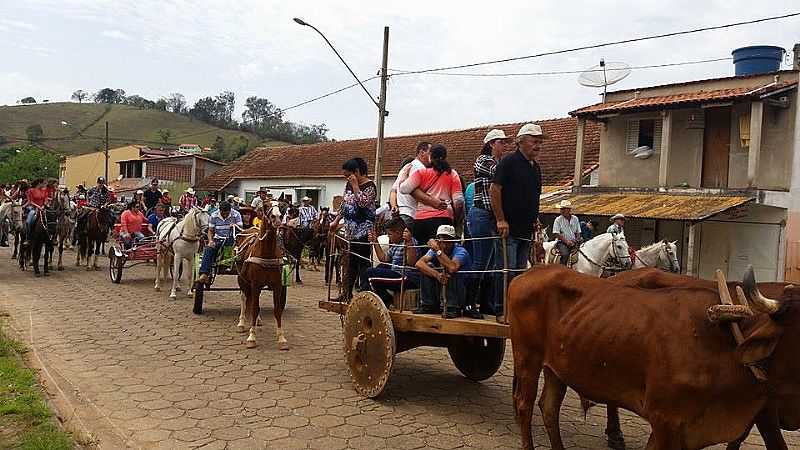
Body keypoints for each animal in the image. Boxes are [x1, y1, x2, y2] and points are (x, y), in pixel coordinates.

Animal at [236, 206, 290, 350]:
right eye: (267, 205)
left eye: (281, 206)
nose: (276, 218)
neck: (266, 255)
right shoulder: (255, 284)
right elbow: (254, 308)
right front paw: (252, 337)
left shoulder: (277, 285)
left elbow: (277, 310)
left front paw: (281, 338)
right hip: (242, 280)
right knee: (244, 298)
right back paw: (241, 323)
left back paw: (258, 320)